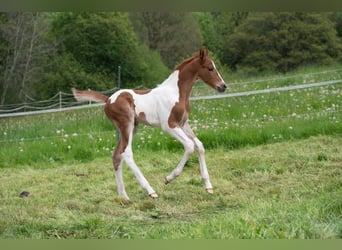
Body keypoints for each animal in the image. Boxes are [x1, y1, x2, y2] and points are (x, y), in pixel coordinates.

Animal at [72, 48, 226, 200]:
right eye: (210, 68)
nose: (223, 86)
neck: (176, 93)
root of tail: (108, 99)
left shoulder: (183, 124)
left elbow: (199, 145)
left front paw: (208, 186)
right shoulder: (169, 125)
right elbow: (189, 146)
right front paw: (169, 178)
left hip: (131, 127)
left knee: (116, 155)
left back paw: (124, 197)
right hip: (127, 125)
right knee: (126, 153)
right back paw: (150, 190)